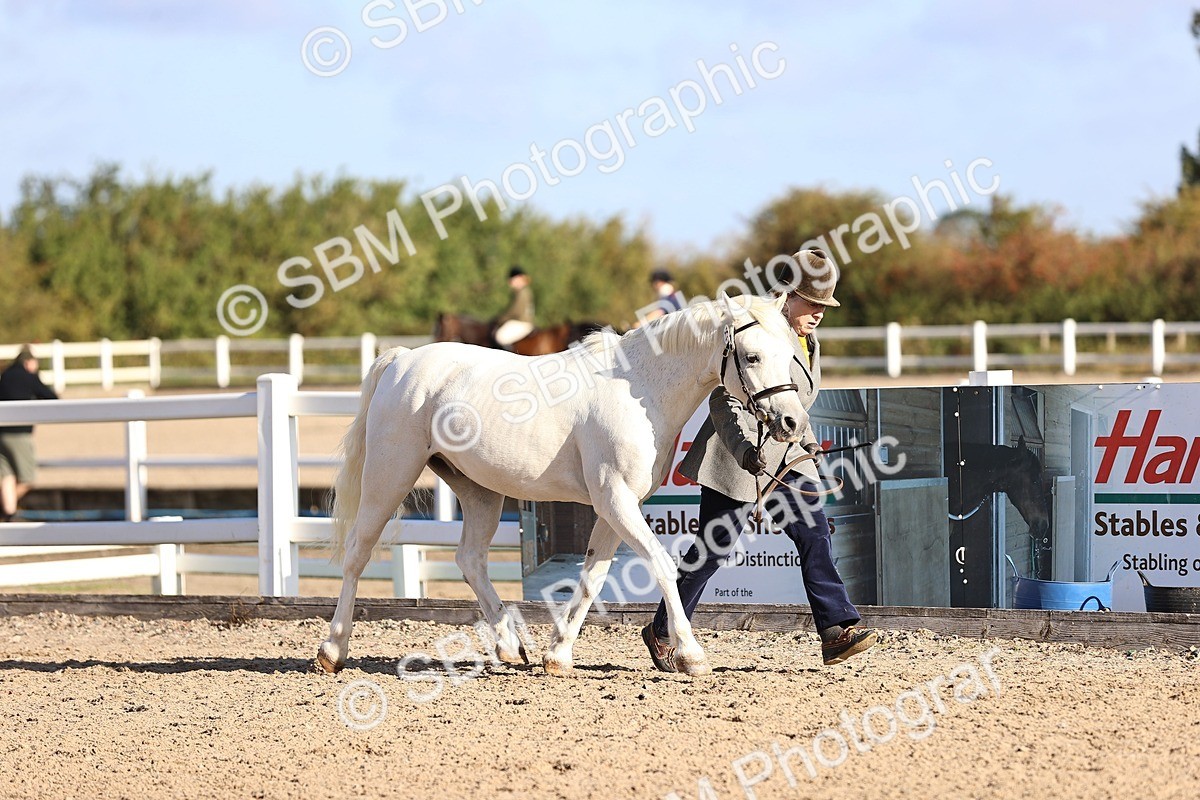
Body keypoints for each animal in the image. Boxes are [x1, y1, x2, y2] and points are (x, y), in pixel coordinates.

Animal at [319, 294, 806, 677]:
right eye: (752, 356)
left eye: (789, 355)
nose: (791, 423)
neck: (641, 390)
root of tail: (401, 360)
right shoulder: (617, 500)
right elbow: (661, 567)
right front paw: (690, 654)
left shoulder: (615, 507)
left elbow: (592, 578)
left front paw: (558, 655)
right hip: (390, 474)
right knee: (358, 553)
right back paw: (333, 650)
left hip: (479, 491)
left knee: (470, 559)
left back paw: (510, 646)